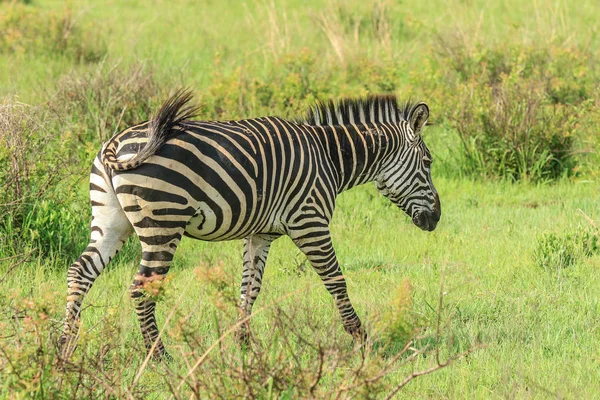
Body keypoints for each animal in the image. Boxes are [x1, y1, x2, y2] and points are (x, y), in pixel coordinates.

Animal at [59, 90, 440, 360]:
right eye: (428, 162)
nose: (436, 219)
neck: (329, 157)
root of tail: (115, 143)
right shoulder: (310, 222)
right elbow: (336, 280)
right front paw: (361, 339)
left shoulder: (260, 234)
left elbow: (249, 289)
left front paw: (243, 345)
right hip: (162, 224)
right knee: (141, 288)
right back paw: (158, 355)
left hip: (111, 220)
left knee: (81, 272)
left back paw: (64, 345)